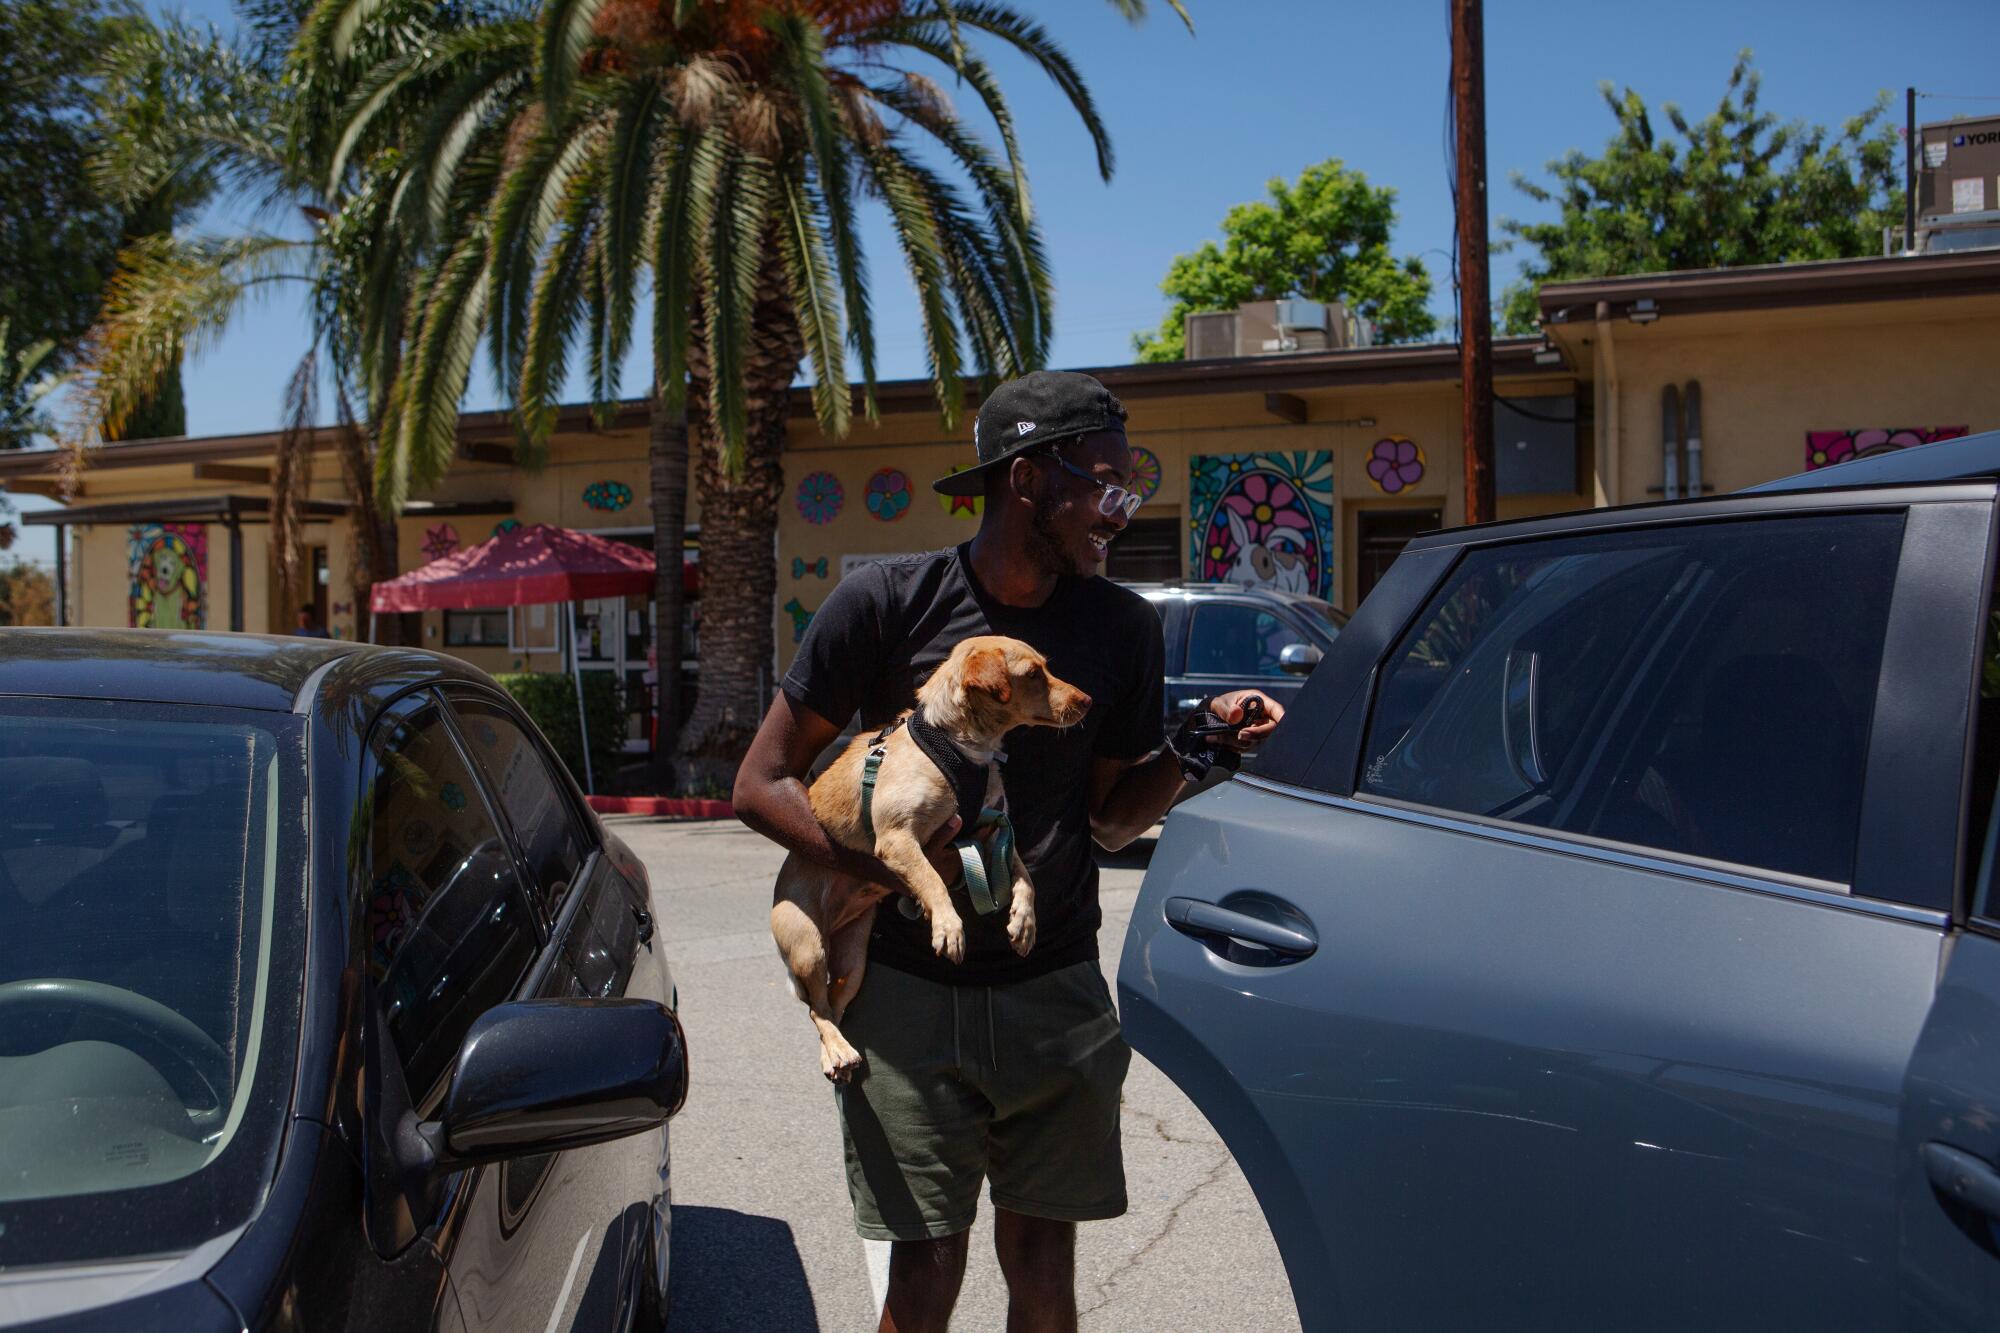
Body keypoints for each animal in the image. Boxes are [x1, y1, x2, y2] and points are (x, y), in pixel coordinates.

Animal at [772, 632, 1096, 1080]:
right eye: (1033, 674)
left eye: (1046, 667)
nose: (1088, 700)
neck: (960, 748)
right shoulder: (898, 839)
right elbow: (933, 880)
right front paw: (948, 925)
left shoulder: (993, 830)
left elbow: (1024, 877)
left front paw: (1024, 922)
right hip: (808, 947)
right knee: (815, 1008)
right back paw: (838, 1052)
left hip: (854, 962)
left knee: (831, 1007)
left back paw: (837, 1049)